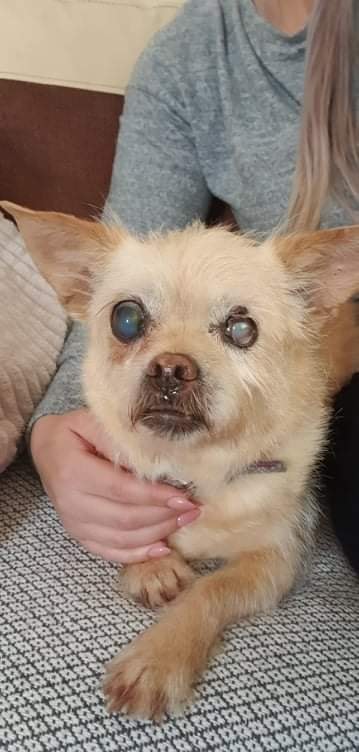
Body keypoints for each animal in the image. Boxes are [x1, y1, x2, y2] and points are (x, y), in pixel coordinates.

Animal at [2, 201, 359, 724]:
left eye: (242, 329)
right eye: (126, 319)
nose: (171, 368)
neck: (196, 467)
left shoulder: (276, 560)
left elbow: (208, 591)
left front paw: (158, 659)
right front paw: (152, 566)